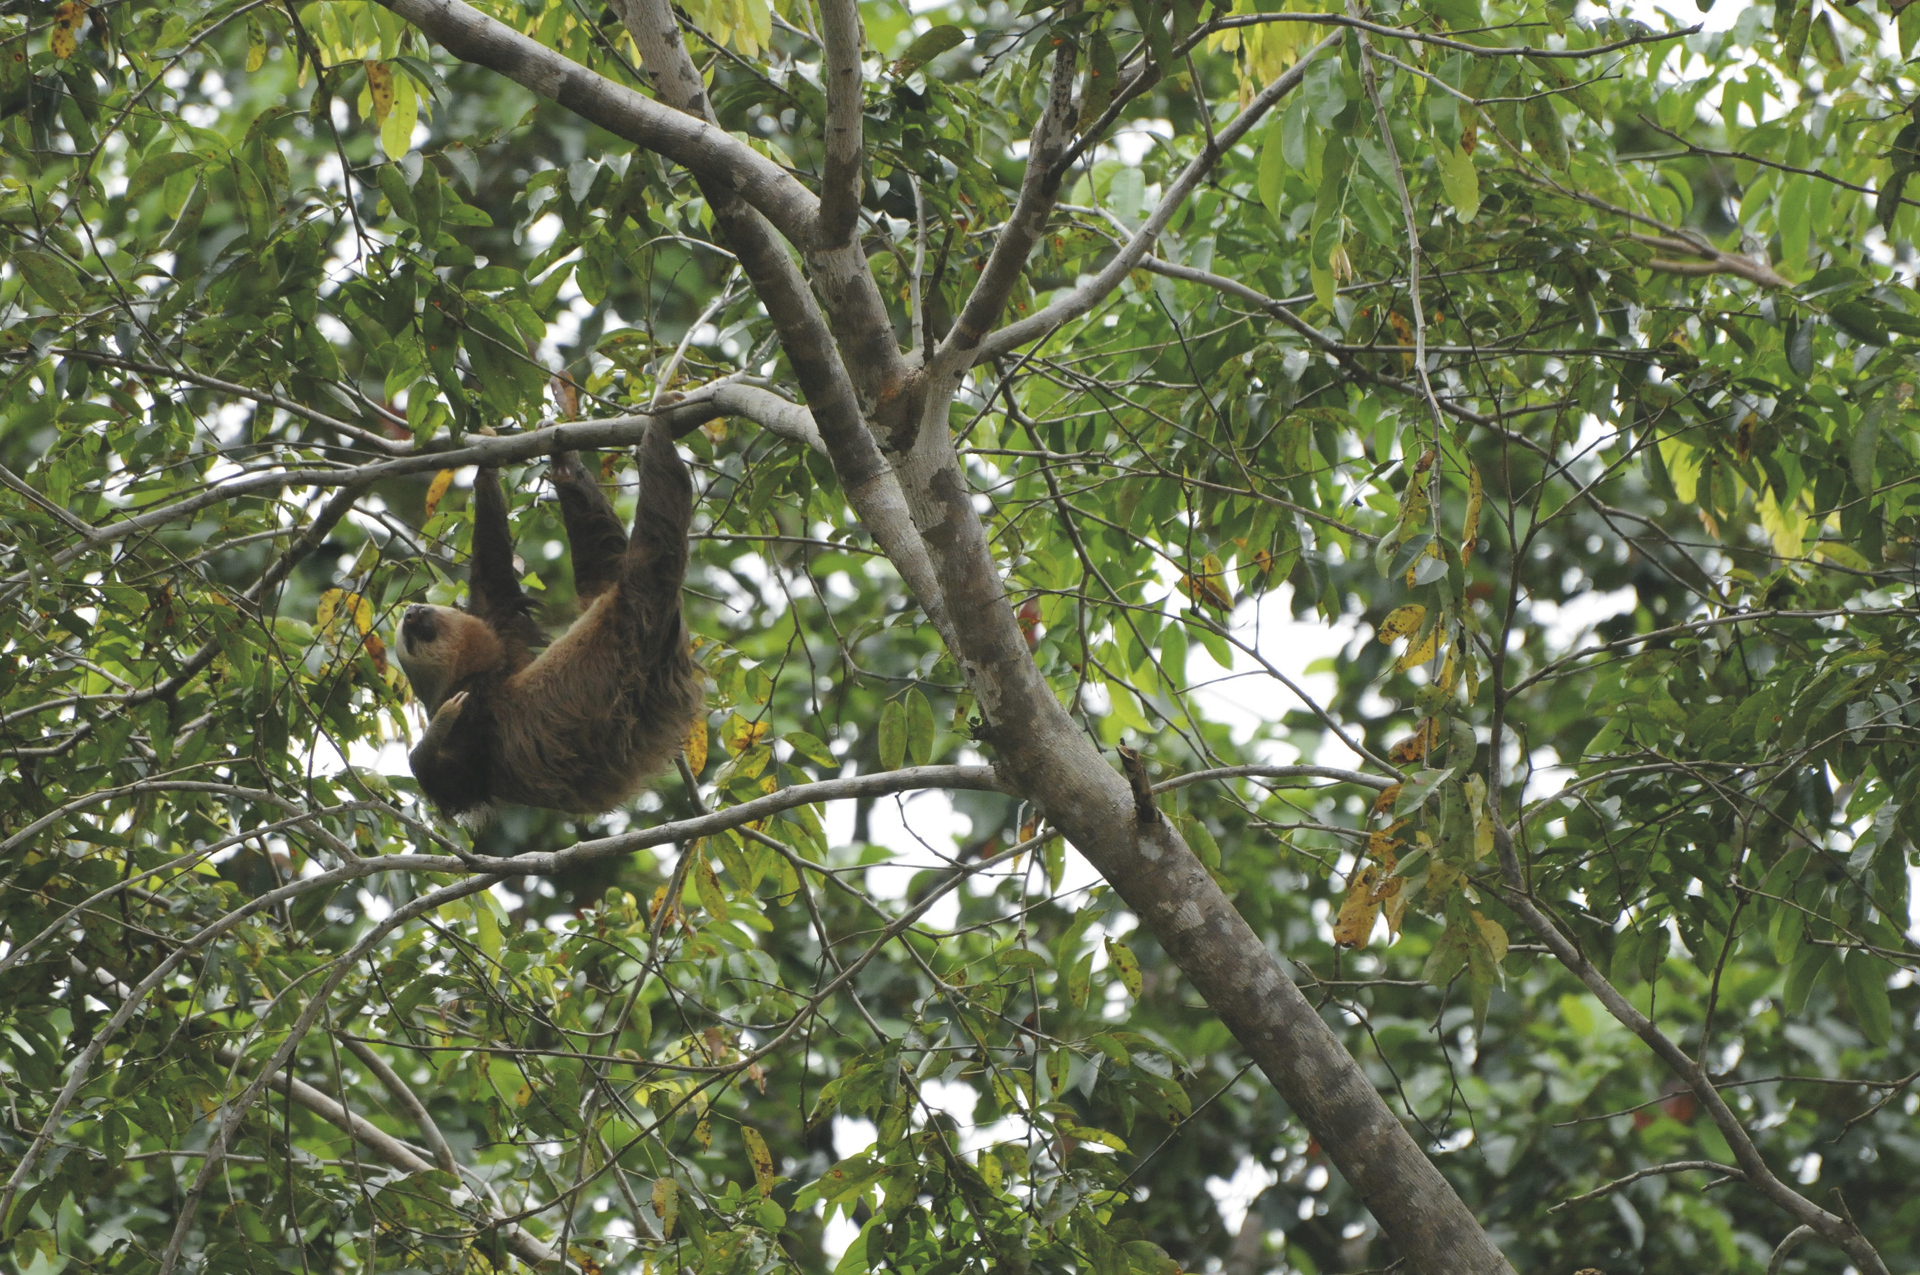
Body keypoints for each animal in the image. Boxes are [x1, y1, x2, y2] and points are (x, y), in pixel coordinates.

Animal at [394, 422, 703, 817]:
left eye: (413, 624)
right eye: (411, 637)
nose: (412, 613)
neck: (481, 676)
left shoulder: (504, 642)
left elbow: (494, 583)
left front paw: (486, 462)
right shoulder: (474, 724)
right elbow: (447, 781)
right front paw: (439, 725)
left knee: (604, 560)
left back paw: (567, 465)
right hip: (637, 624)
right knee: (651, 547)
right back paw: (657, 434)